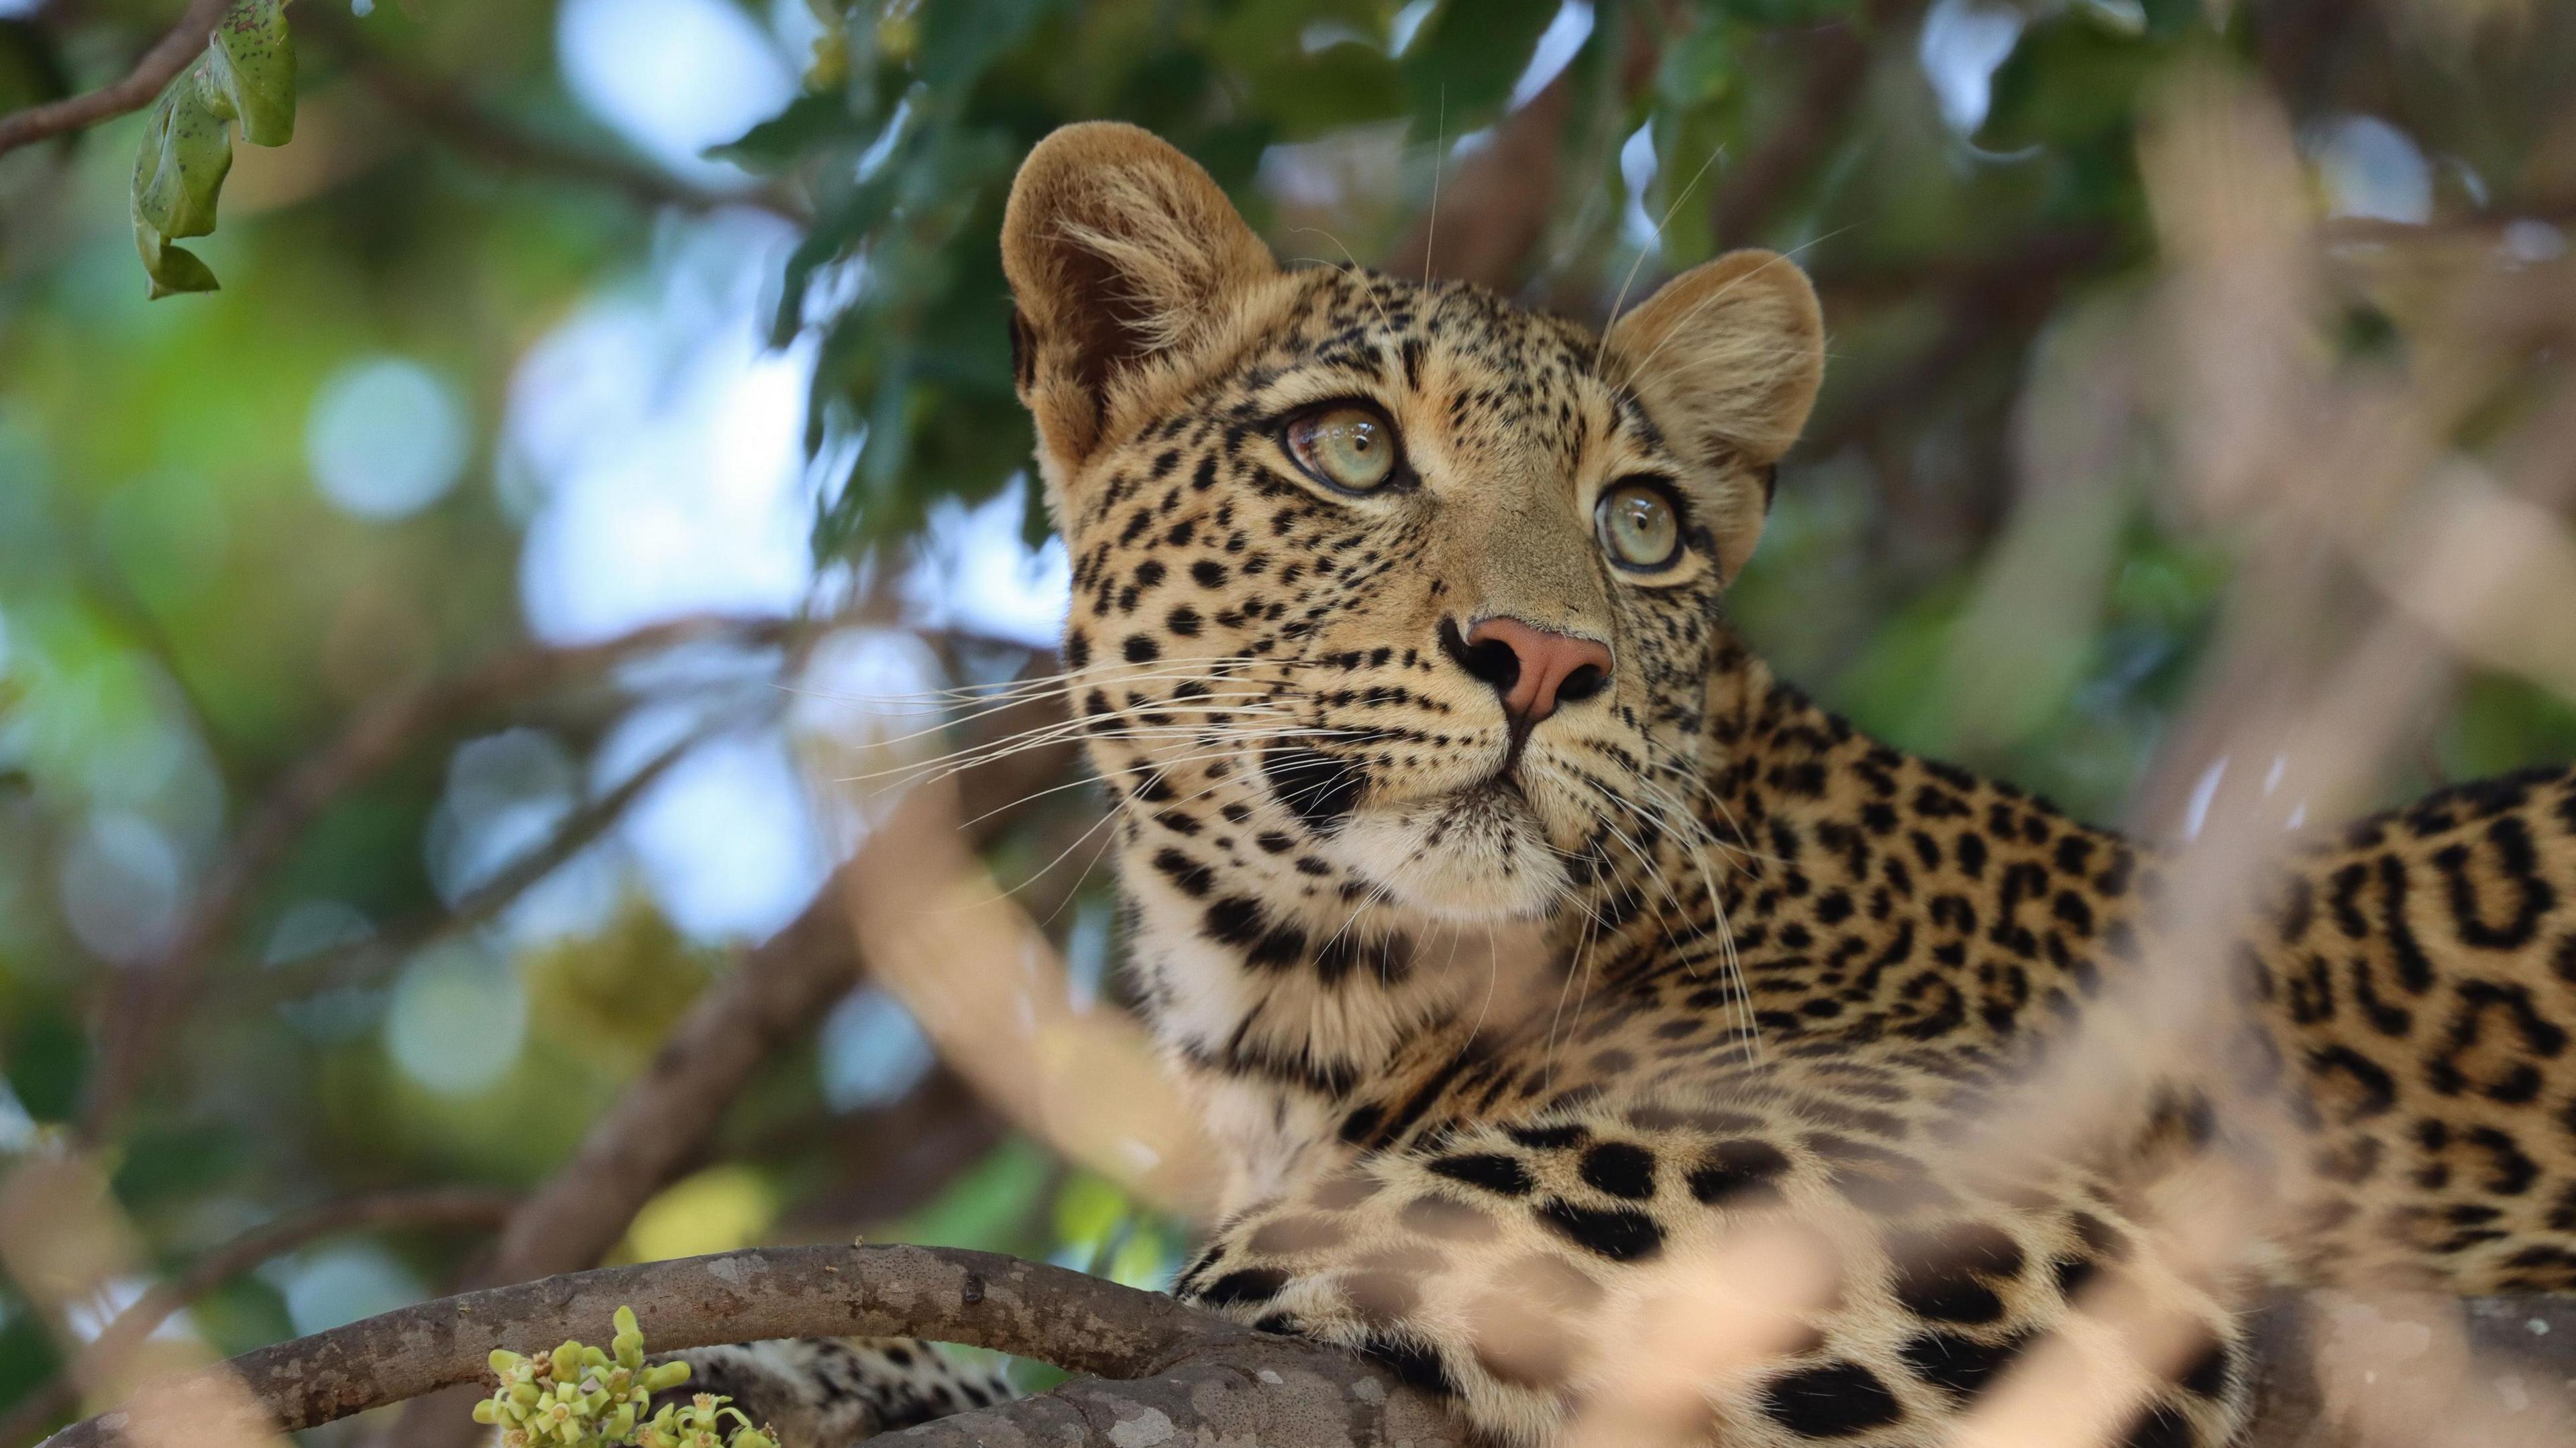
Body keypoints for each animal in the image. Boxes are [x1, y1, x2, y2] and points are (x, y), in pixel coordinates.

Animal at [690, 122, 2576, 1447]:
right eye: (1349, 447)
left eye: (1641, 524)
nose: (1540, 657)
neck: (1308, 1001)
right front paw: (824, 1362)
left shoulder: (1985, 1195)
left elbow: (1320, 1243)